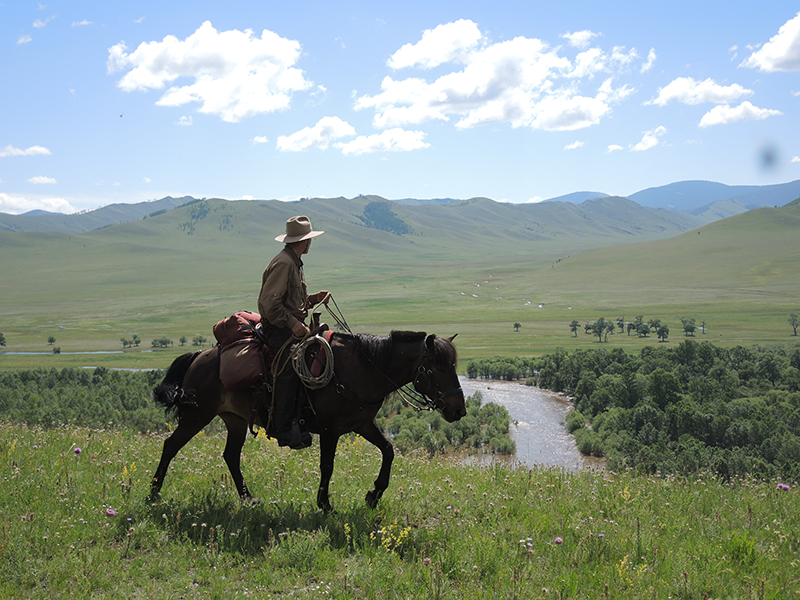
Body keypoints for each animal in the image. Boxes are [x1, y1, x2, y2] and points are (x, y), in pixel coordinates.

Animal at [148, 330, 468, 508]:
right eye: (438, 368)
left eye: (454, 366)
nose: (459, 411)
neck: (361, 369)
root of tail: (198, 355)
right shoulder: (330, 429)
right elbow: (327, 466)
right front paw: (324, 504)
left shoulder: (362, 424)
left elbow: (388, 451)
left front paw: (373, 494)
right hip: (196, 415)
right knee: (170, 446)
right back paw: (153, 493)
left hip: (234, 420)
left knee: (230, 456)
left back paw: (248, 498)